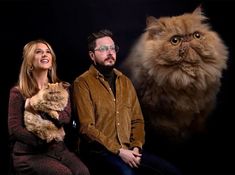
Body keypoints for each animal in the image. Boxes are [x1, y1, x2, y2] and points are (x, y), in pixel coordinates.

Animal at [122, 6, 229, 142]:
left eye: (197, 35)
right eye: (175, 40)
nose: (188, 39)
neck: (185, 80)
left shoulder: (202, 112)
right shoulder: (158, 117)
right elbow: (170, 132)